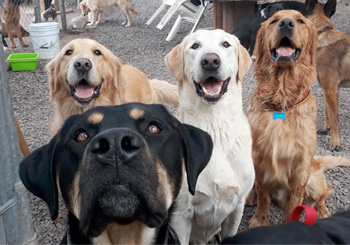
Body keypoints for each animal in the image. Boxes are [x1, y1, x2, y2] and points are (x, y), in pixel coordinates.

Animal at [165, 28, 253, 243]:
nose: (211, 61)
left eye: (226, 44)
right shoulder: (180, 214)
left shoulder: (237, 207)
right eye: (195, 46)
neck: (214, 124)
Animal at [304, 0, 348, 151]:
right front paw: (325, 129)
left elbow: (334, 119)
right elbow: (328, 111)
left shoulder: (330, 89)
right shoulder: (330, 90)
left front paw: (335, 142)